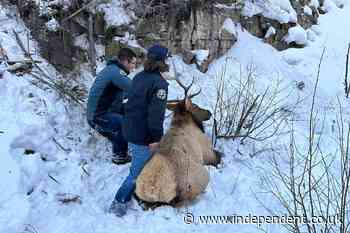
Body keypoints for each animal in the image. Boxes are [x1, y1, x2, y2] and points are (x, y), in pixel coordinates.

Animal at [135, 77, 220, 206]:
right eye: (195, 105)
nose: (209, 113)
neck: (183, 122)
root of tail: (151, 191)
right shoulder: (208, 152)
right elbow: (219, 156)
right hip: (202, 176)